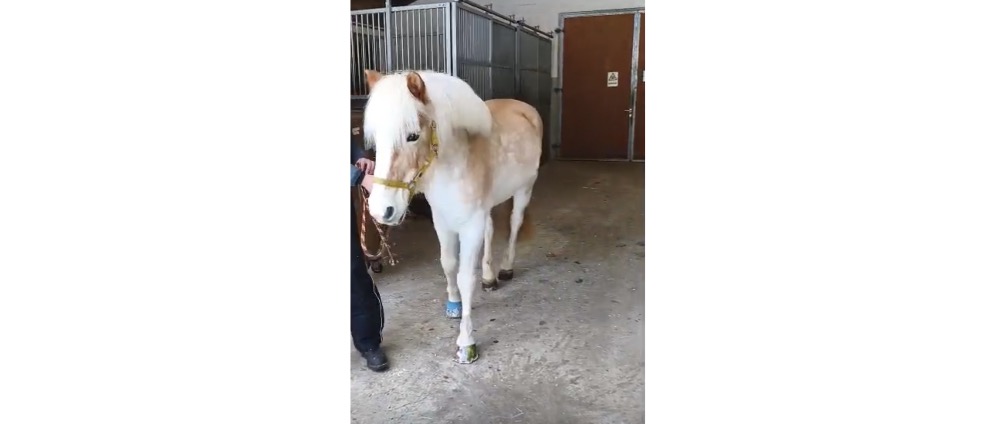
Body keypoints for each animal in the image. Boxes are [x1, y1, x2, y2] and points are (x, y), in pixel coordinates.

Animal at [361, 69, 541, 364]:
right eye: (376, 139)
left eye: (412, 135)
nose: (381, 210)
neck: (455, 165)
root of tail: (524, 107)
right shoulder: (443, 221)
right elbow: (448, 264)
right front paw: (454, 305)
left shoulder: (470, 226)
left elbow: (465, 277)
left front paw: (466, 343)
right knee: (491, 230)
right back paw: (489, 278)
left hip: (524, 189)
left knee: (514, 224)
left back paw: (504, 269)